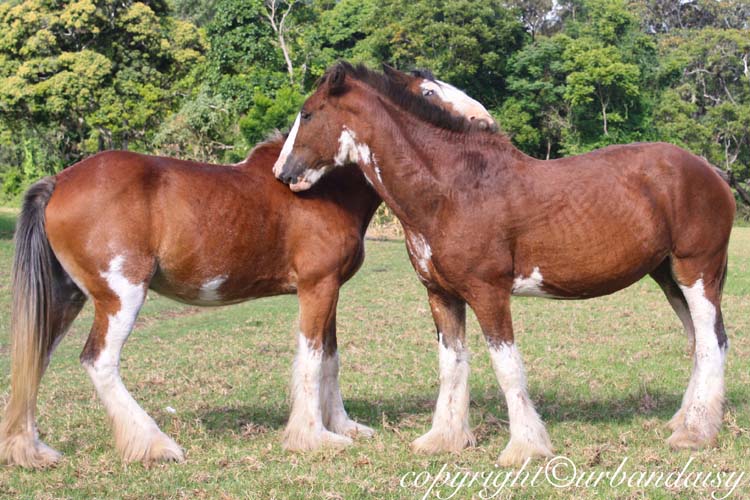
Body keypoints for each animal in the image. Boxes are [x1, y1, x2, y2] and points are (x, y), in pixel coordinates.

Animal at [0, 67, 500, 468]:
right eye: (430, 93)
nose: (485, 122)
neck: (323, 188)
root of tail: (59, 179)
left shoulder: (328, 289)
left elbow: (330, 358)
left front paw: (343, 426)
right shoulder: (316, 287)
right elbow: (312, 358)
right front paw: (314, 437)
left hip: (66, 296)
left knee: (36, 358)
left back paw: (31, 452)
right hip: (120, 296)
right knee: (98, 361)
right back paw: (155, 445)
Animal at [274, 62, 736, 464]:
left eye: (308, 114)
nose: (283, 172)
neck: (452, 190)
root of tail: (710, 171)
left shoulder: (488, 292)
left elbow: (507, 367)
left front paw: (525, 447)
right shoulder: (441, 295)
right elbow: (452, 365)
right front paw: (445, 439)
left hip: (697, 271)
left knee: (712, 342)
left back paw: (695, 433)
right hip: (668, 276)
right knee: (699, 340)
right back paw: (685, 420)